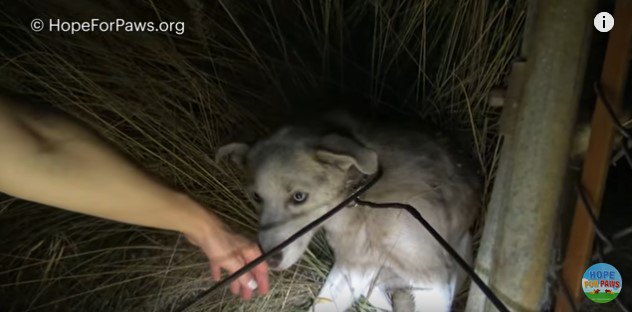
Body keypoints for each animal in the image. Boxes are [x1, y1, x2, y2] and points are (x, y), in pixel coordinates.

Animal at [217, 114, 478, 312]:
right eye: (256, 197)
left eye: (299, 196)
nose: (269, 260)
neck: (359, 197)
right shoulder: (353, 265)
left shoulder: (433, 277)